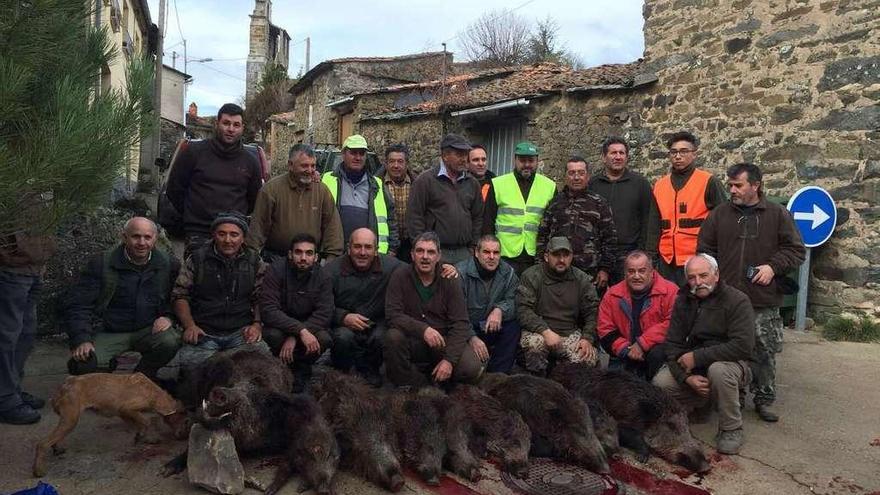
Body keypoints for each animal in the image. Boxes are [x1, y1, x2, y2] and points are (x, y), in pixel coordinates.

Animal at [33, 374, 189, 478]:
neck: (153, 392)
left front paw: (142, 437)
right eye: (186, 420)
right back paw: (38, 470)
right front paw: (144, 436)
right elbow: (146, 422)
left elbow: (138, 424)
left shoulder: (122, 413)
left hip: (67, 420)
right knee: (42, 443)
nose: (184, 437)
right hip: (71, 420)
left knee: (53, 439)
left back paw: (57, 449)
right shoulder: (127, 409)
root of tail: (62, 388)